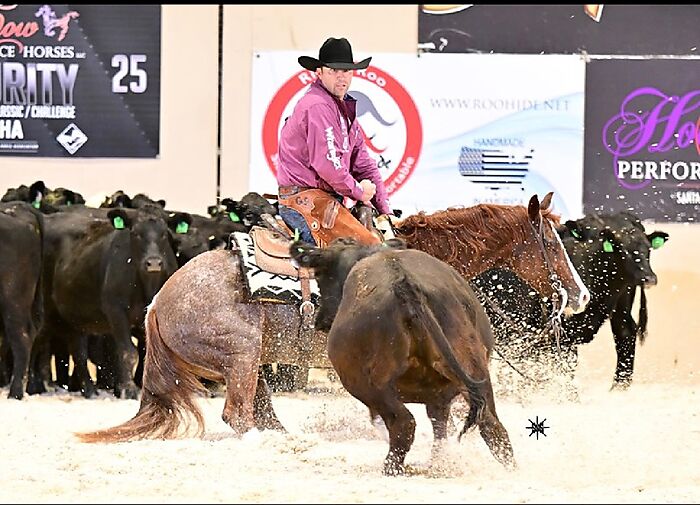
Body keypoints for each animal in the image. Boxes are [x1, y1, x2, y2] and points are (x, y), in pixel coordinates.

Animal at [76, 193, 589, 443]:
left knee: (260, 411)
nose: (580, 295)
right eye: (550, 241)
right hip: (240, 354)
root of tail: (159, 303)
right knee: (237, 413)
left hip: (250, 363)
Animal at [290, 238, 515, 475]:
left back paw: (390, 467)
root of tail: (405, 284)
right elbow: (440, 423)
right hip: (474, 369)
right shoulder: (440, 396)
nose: (320, 320)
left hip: (367, 384)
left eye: (319, 276)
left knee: (404, 423)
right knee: (492, 425)